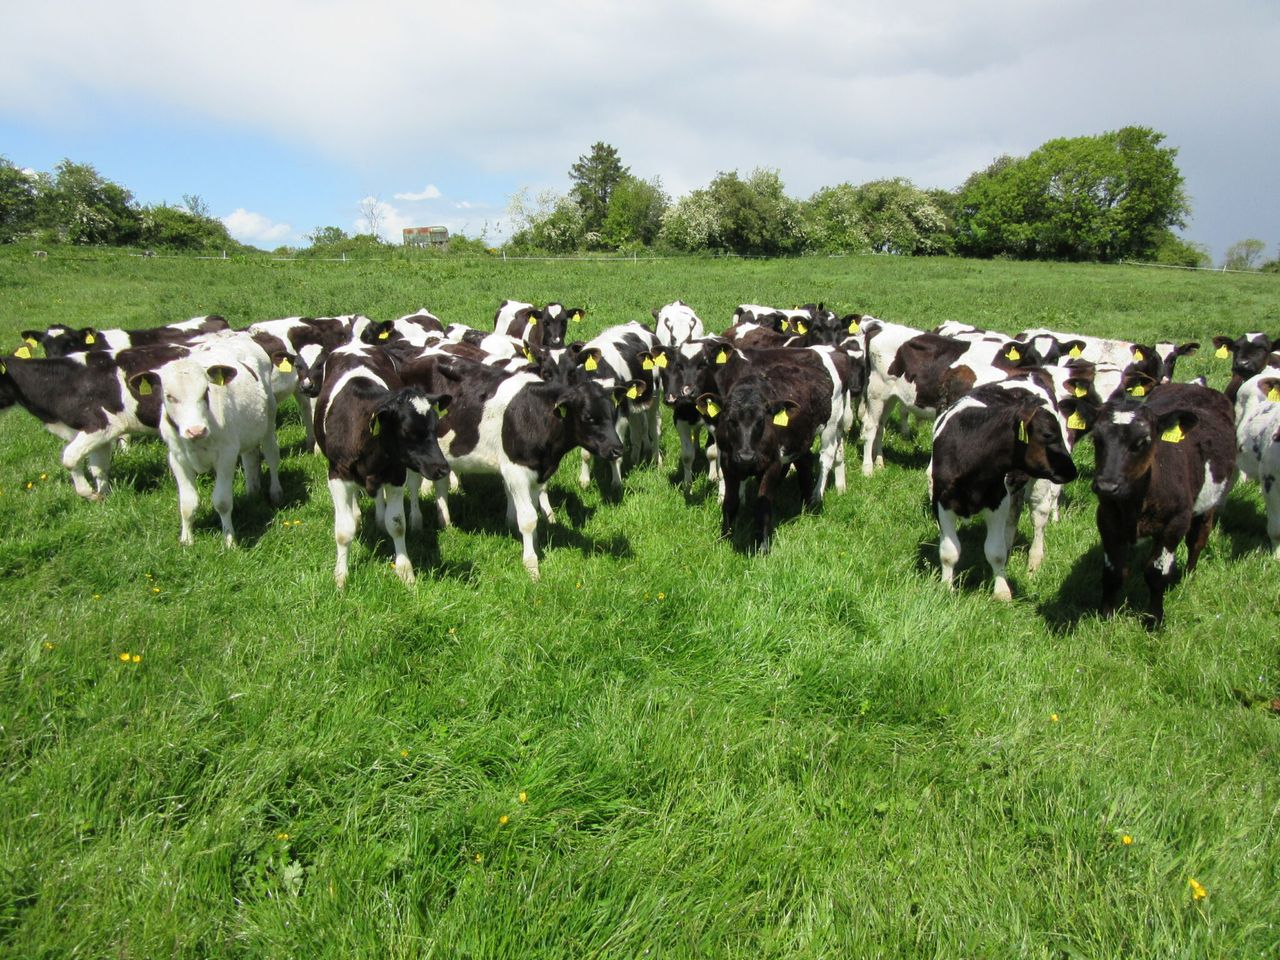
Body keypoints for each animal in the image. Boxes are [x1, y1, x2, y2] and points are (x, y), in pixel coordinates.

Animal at [126, 340, 282, 547]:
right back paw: (252, 493)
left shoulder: (227, 454)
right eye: (169, 396)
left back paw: (275, 492)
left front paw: (229, 540)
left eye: (206, 391)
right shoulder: (177, 458)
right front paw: (186, 540)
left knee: (272, 455)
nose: (196, 430)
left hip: (269, 421)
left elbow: (222, 501)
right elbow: (187, 503)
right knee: (250, 458)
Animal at [312, 341, 453, 589]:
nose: (442, 468)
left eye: (435, 427)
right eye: (407, 431)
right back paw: (357, 514)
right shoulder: (337, 474)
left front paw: (405, 572)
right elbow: (343, 531)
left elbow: (397, 524)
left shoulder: (395, 473)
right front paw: (341, 576)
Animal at [422, 355, 632, 580]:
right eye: (588, 417)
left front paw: (536, 546)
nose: (617, 449)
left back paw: (446, 523)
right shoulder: (517, 472)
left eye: (613, 412)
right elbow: (529, 518)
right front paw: (532, 567)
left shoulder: (538, 472)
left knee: (441, 484)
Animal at [928, 379, 1078, 600]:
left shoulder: (997, 501)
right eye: (1048, 434)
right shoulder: (942, 500)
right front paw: (947, 587)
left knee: (1039, 518)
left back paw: (1034, 563)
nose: (1072, 470)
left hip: (1038, 484)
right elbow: (949, 551)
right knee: (1013, 516)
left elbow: (995, 551)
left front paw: (1002, 592)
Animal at [1090, 383, 1236, 628]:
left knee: (1197, 540)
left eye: (1143, 442)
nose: (1106, 485)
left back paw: (1189, 575)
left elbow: (1157, 573)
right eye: (1096, 439)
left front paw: (1154, 619)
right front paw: (1105, 616)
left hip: (1208, 504)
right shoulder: (1107, 517)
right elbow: (1113, 571)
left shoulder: (1175, 522)